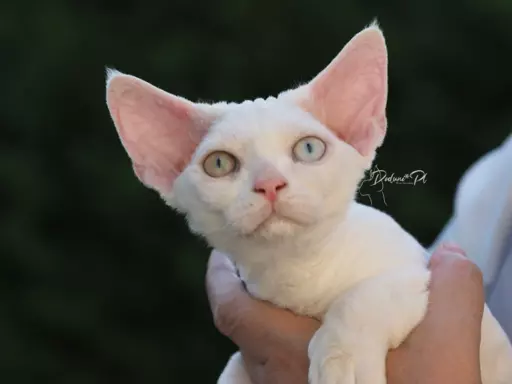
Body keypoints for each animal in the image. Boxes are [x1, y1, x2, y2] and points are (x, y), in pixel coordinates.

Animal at [104, 23, 512, 384]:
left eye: (309, 149)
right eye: (219, 164)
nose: (269, 183)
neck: (300, 277)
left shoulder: (423, 272)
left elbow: (365, 295)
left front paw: (342, 361)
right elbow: (233, 371)